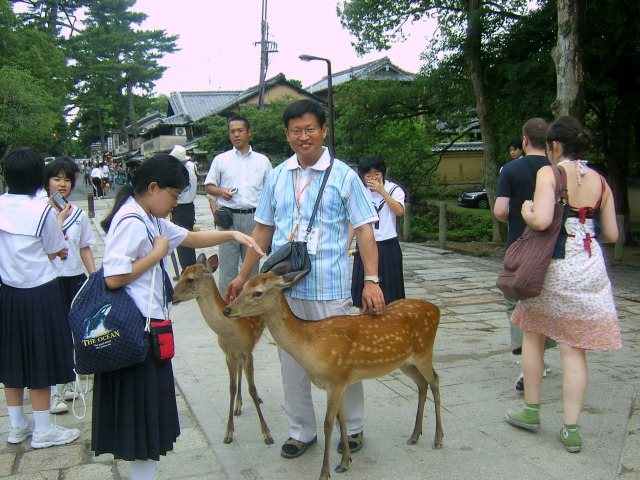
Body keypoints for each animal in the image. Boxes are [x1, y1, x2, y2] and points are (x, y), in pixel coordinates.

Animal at [170, 253, 272, 444]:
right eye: (179, 274)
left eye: (189, 279)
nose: (171, 297)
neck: (231, 330)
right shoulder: (228, 354)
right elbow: (231, 387)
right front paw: (228, 432)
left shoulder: (247, 351)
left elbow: (252, 388)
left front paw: (267, 433)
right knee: (239, 373)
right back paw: (238, 406)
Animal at [222, 262, 442, 480]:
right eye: (243, 286)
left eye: (257, 293)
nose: (227, 310)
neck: (310, 346)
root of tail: (436, 310)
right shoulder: (341, 381)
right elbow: (341, 418)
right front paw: (345, 462)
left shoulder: (335, 379)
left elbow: (328, 424)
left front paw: (325, 472)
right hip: (406, 362)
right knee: (422, 384)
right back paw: (415, 435)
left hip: (424, 352)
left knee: (435, 380)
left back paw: (438, 439)